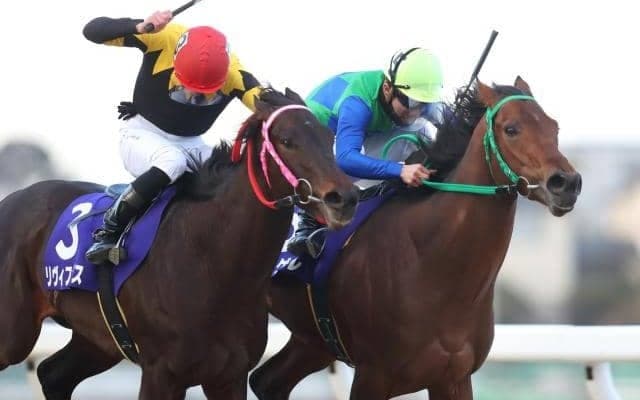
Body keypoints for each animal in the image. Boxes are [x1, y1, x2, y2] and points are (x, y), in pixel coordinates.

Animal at [0, 88, 358, 399]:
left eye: (329, 137)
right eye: (287, 141)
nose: (344, 198)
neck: (212, 262)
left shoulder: (228, 375)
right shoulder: (161, 374)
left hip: (97, 339)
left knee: (53, 374)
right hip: (14, 335)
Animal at [249, 77, 583, 400]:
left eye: (554, 126)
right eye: (511, 129)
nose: (566, 183)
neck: (431, 262)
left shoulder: (453, 377)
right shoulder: (373, 375)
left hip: (315, 341)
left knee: (267, 381)